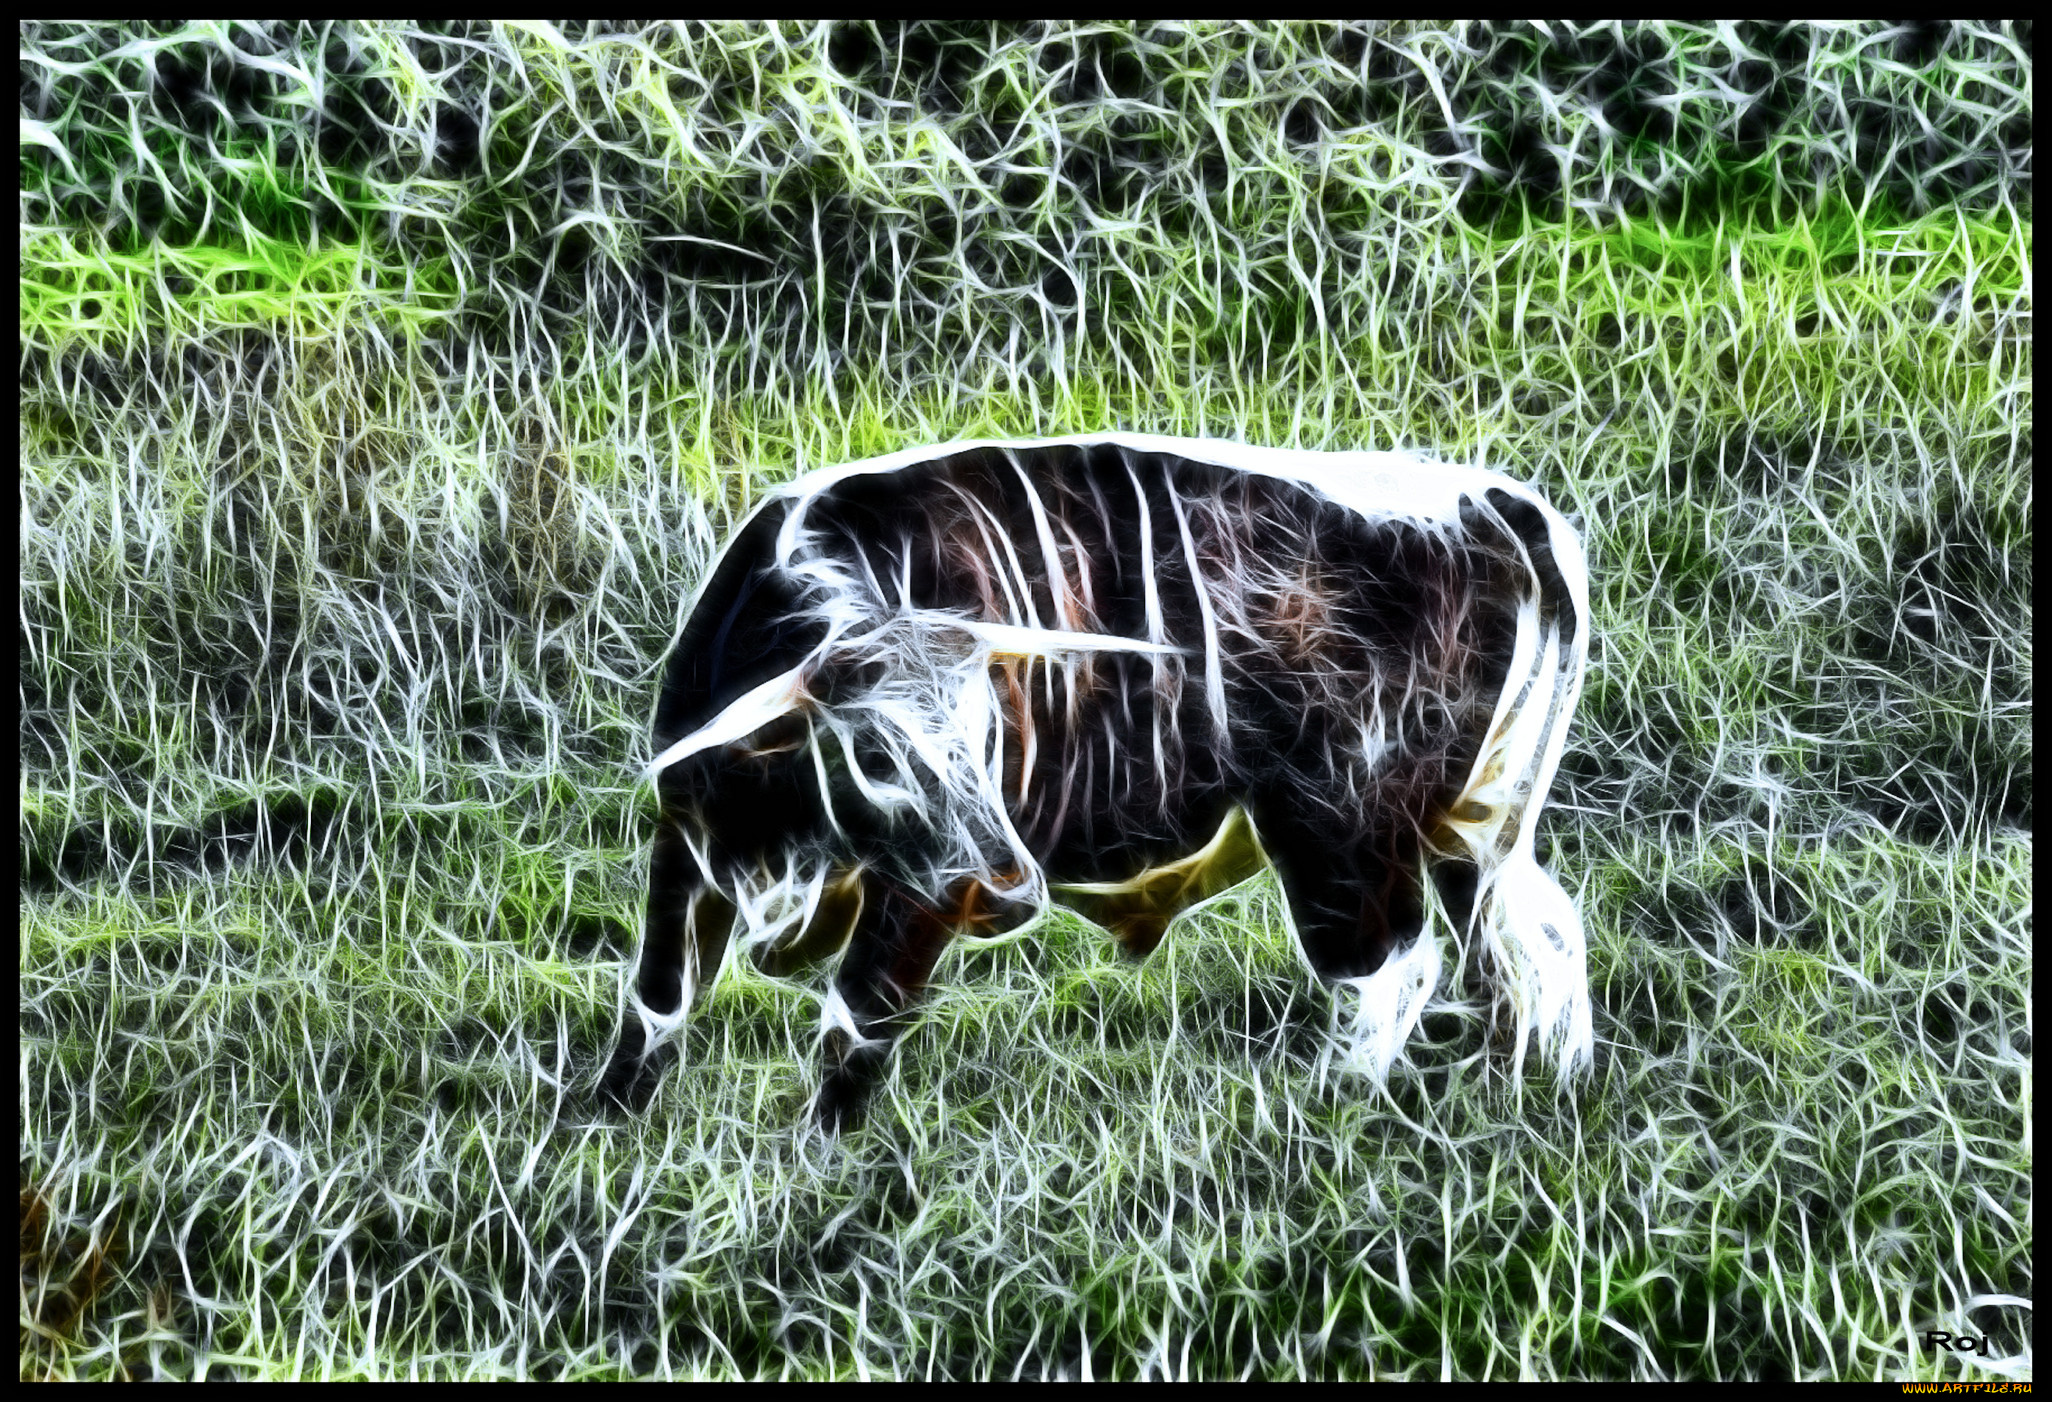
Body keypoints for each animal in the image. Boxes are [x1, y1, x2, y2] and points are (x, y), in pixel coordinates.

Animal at [603, 434, 1592, 1131]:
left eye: (991, 730)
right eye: (875, 754)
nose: (1009, 889)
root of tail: (1485, 498)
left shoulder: (917, 898)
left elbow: (857, 1024)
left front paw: (820, 1165)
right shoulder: (685, 841)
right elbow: (657, 1001)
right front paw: (611, 1126)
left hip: (1341, 833)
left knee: (1393, 968)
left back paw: (1330, 1108)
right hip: (1473, 830)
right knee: (1533, 944)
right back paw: (1534, 1086)